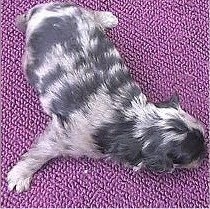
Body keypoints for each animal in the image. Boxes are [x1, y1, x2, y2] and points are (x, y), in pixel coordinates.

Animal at [7, 2, 207, 193]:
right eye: (193, 156)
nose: (206, 153)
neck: (133, 122)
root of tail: (41, 10)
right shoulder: (62, 136)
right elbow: (39, 153)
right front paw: (20, 175)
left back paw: (106, 19)